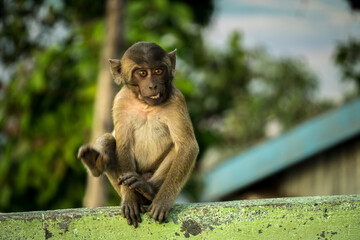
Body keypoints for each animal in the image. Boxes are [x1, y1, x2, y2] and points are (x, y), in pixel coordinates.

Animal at [77, 41, 200, 227]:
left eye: (158, 71)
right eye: (142, 73)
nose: (152, 85)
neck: (146, 105)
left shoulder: (176, 99)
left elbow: (187, 146)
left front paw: (162, 201)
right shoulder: (120, 101)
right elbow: (123, 146)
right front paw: (130, 200)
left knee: (177, 149)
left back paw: (148, 189)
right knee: (109, 140)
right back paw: (95, 162)